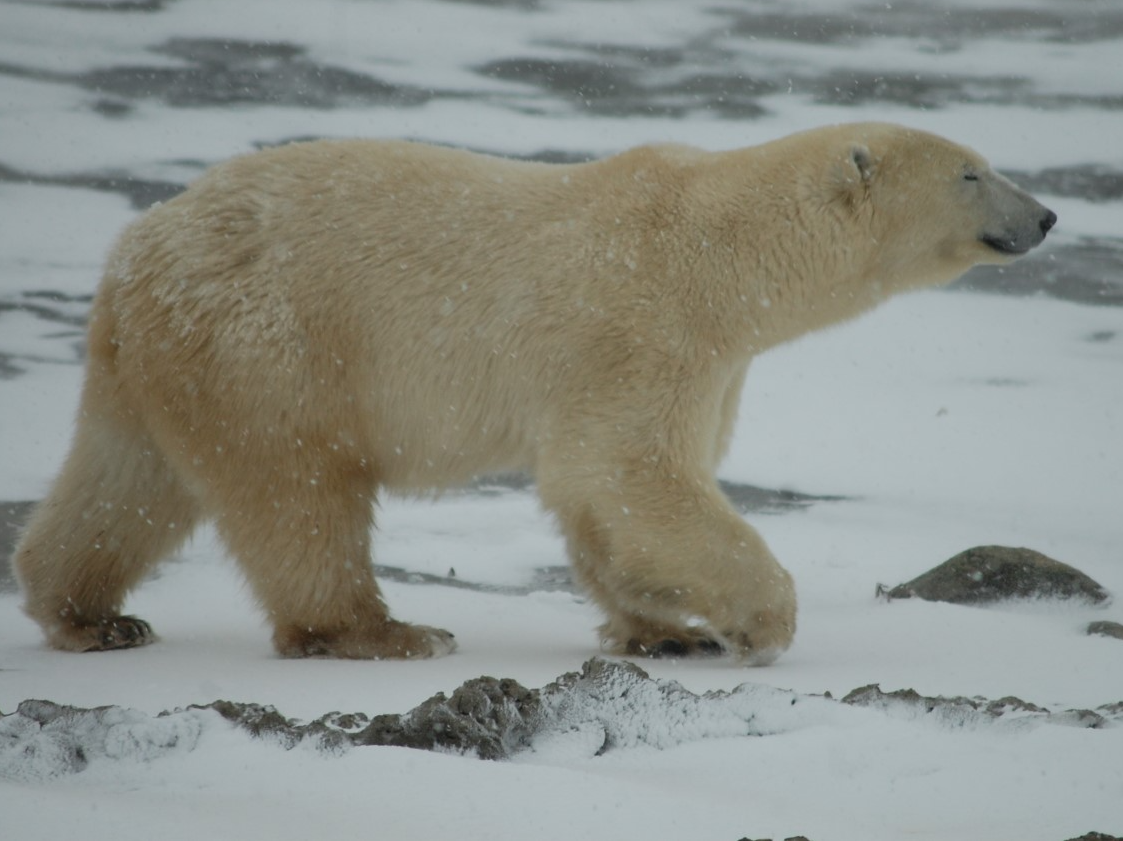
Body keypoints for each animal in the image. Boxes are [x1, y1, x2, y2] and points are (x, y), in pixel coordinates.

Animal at [13, 124, 1055, 664]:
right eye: (971, 170)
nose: (1045, 214)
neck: (719, 246)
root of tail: (135, 250)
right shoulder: (645, 325)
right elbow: (631, 470)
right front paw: (759, 622)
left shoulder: (705, 360)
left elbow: (603, 498)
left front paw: (661, 628)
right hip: (272, 346)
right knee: (297, 494)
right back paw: (383, 629)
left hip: (165, 359)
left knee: (126, 479)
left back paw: (90, 613)